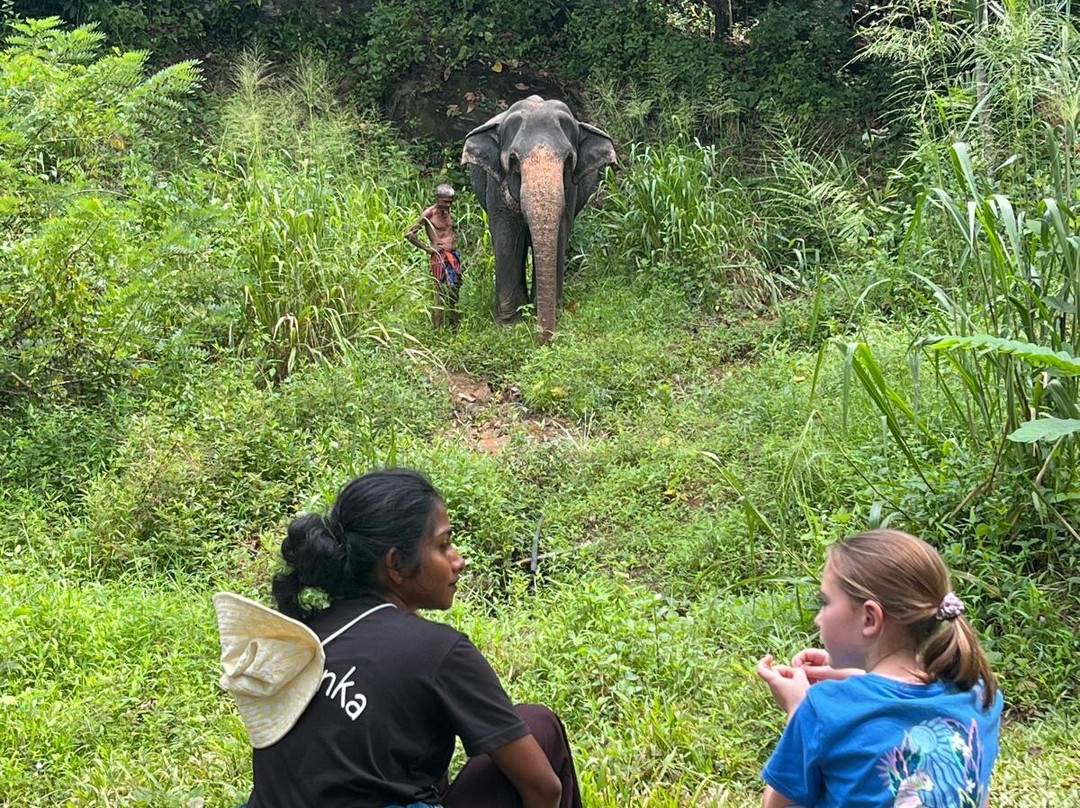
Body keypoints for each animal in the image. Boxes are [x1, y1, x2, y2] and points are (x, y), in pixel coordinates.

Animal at [461, 96, 616, 342]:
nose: (544, 339)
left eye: (569, 160)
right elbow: (506, 235)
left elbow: (560, 233)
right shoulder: (496, 185)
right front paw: (509, 324)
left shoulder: (570, 190)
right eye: (513, 159)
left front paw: (550, 312)